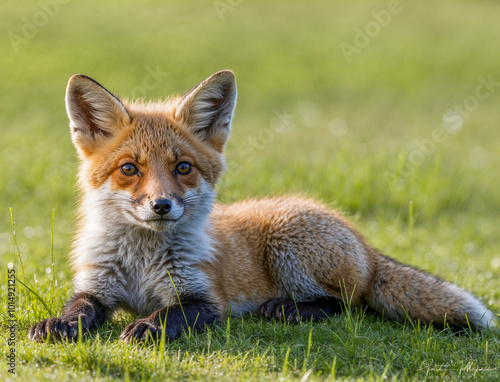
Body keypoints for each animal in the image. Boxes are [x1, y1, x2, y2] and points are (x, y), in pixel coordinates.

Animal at [29, 70, 494, 342]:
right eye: (129, 168)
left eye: (183, 168)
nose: (161, 206)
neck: (142, 265)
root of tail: (363, 241)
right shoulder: (97, 286)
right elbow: (80, 308)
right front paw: (60, 324)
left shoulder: (205, 299)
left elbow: (169, 316)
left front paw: (145, 326)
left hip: (289, 247)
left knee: (349, 304)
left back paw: (288, 309)